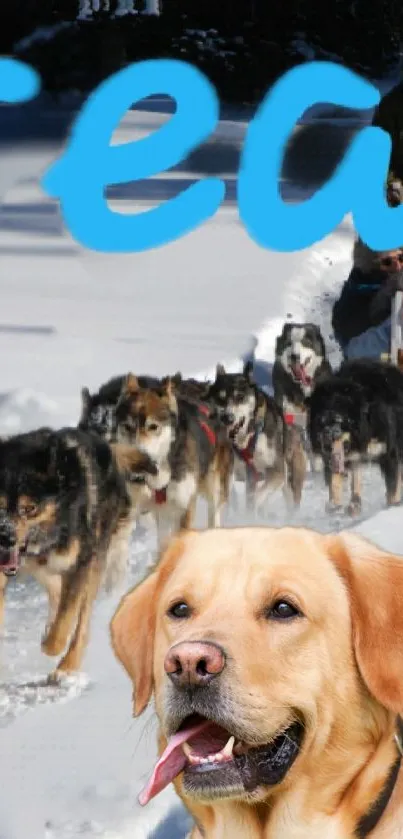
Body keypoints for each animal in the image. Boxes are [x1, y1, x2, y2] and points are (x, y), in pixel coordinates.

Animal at [0, 430, 156, 680]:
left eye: (29, 508)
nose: (5, 538)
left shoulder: (80, 564)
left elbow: (64, 622)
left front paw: (52, 646)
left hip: (94, 563)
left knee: (81, 621)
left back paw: (68, 664)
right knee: (56, 591)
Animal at [113, 378, 234, 548]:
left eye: (153, 426)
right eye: (127, 427)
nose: (138, 458)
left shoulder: (184, 506)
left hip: (215, 487)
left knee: (214, 515)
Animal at [207, 360, 308, 512]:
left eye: (240, 397)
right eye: (221, 398)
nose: (227, 418)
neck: (248, 438)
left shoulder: (277, 471)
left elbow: (255, 498)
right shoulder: (232, 473)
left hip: (290, 483)